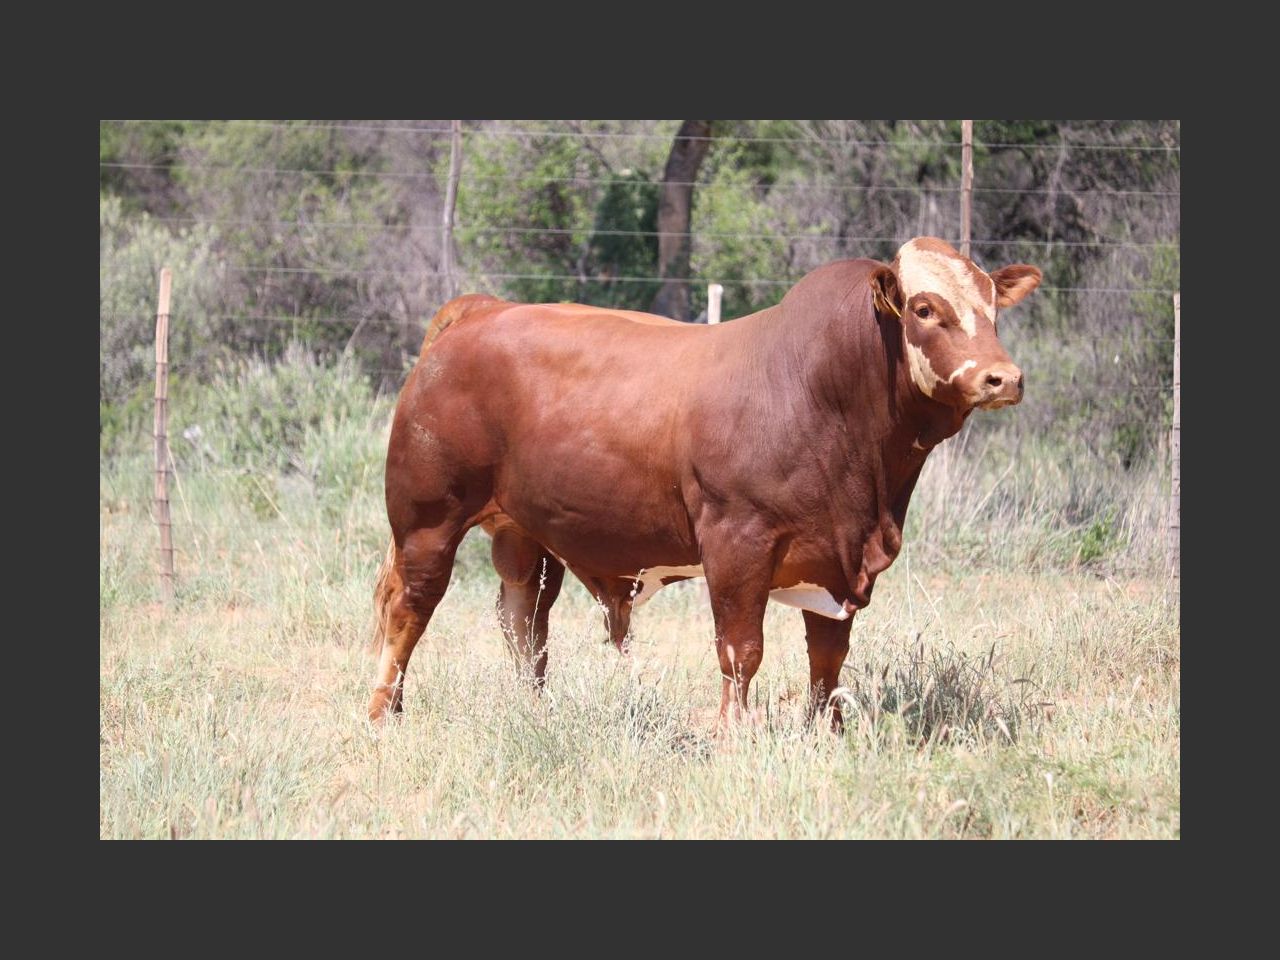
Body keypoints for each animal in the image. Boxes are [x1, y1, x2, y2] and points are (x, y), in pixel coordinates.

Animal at [368, 237, 1041, 729]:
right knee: (410, 606)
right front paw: (731, 737)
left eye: (993, 308)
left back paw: (533, 711)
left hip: (525, 534)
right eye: (925, 310)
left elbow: (828, 660)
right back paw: (383, 713)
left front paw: (825, 735)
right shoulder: (736, 543)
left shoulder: (837, 560)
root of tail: (483, 309)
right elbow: (741, 652)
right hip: (427, 518)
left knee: (524, 622)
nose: (1002, 379)